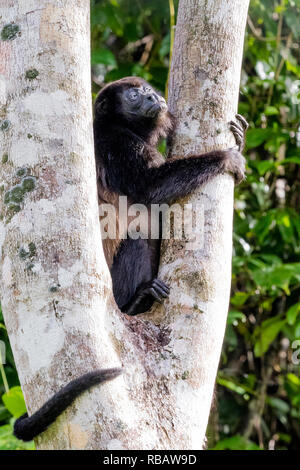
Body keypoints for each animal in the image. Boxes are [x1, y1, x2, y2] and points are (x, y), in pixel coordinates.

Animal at [14, 74, 247, 440]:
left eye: (147, 89)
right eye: (134, 94)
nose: (152, 96)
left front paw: (239, 137)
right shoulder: (116, 144)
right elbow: (149, 186)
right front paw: (227, 157)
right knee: (142, 229)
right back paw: (135, 302)